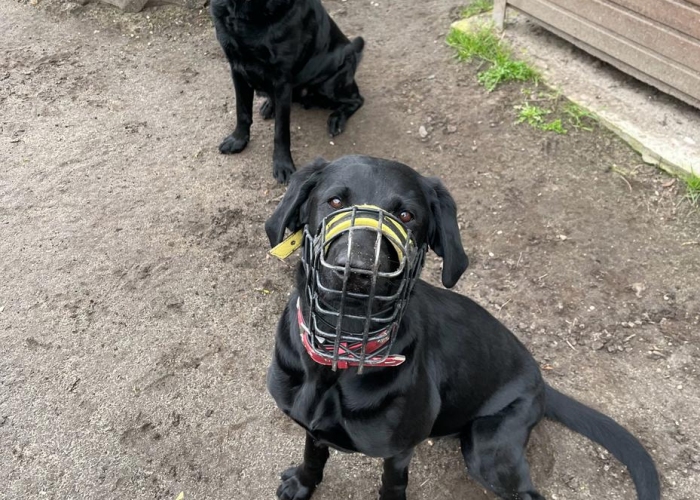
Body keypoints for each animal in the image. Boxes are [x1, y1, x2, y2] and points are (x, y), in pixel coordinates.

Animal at [209, 0, 364, 184]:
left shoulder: (282, 78)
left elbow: (281, 130)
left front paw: (282, 164)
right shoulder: (236, 67)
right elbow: (242, 111)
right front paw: (238, 139)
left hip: (330, 84)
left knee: (357, 99)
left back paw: (336, 119)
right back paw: (269, 106)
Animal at [264, 156, 660, 500]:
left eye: (406, 215)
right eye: (334, 201)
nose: (358, 270)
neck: (340, 350)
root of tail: (540, 380)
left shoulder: (399, 451)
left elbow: (392, 486)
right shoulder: (313, 429)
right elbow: (313, 455)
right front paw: (303, 484)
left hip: (488, 450)